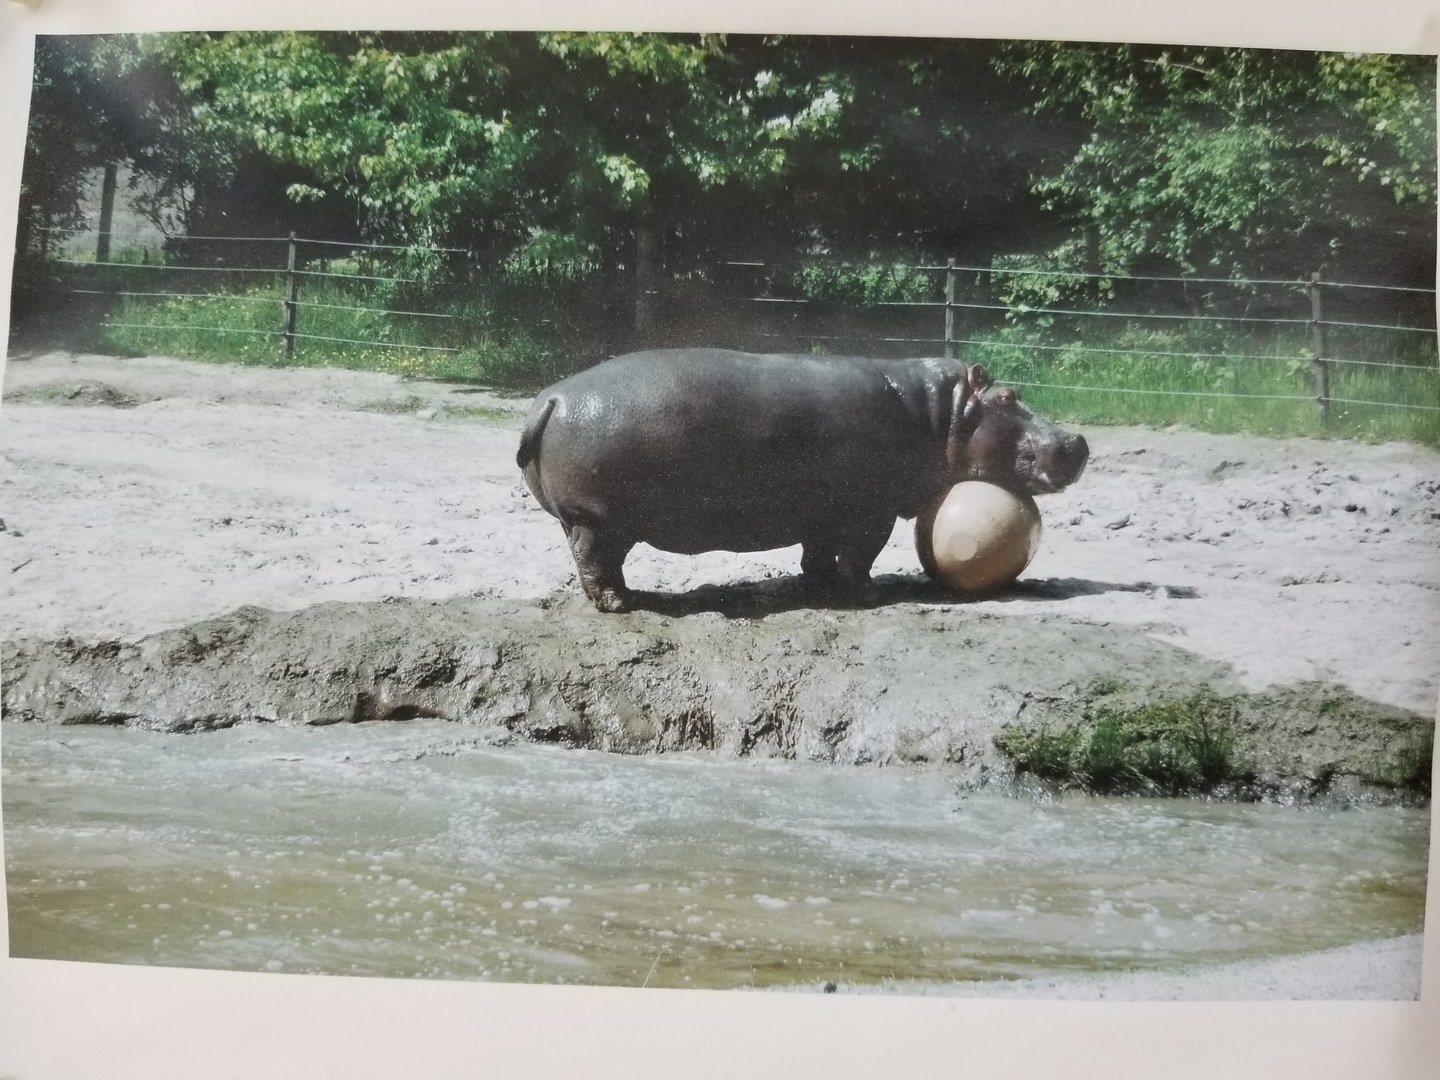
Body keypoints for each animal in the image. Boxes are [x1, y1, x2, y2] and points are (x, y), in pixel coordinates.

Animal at [517, 348, 1087, 612]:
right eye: (1009, 397)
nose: (1078, 441)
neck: (938, 412)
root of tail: (552, 399)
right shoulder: (869, 511)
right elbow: (861, 554)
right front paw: (866, 594)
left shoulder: (823, 510)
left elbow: (817, 550)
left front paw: (815, 584)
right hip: (597, 520)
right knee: (595, 561)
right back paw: (620, 603)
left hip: (586, 518)